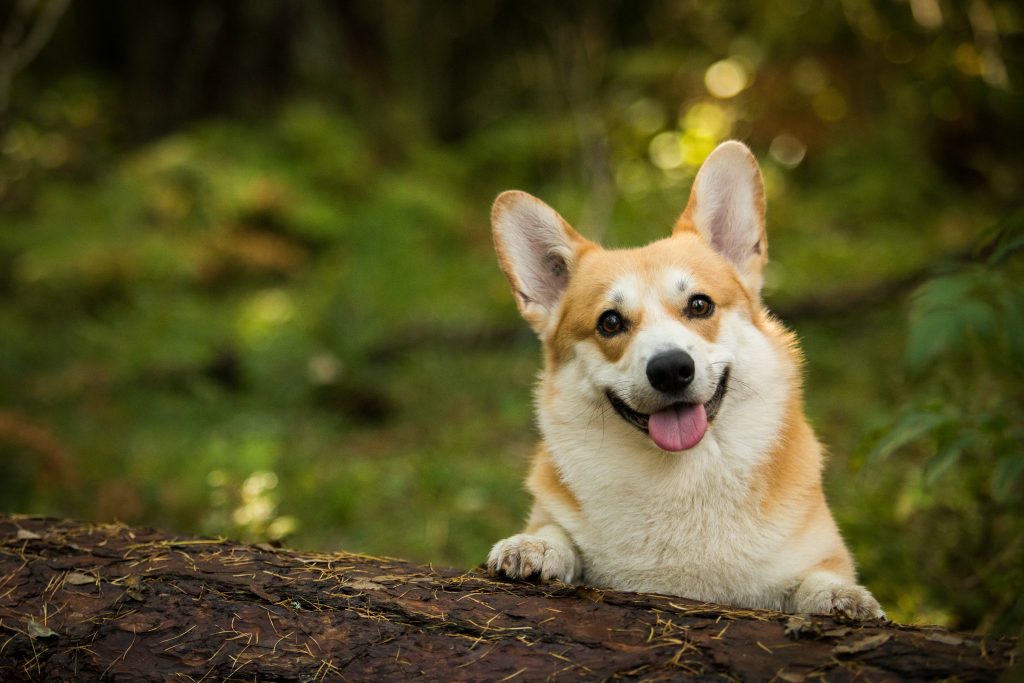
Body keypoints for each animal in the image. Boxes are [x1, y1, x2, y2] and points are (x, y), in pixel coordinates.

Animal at [485, 140, 880, 618]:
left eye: (699, 305)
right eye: (610, 322)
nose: (671, 369)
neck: (680, 473)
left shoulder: (819, 554)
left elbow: (820, 577)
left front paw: (840, 597)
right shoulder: (553, 513)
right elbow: (554, 530)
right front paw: (535, 547)